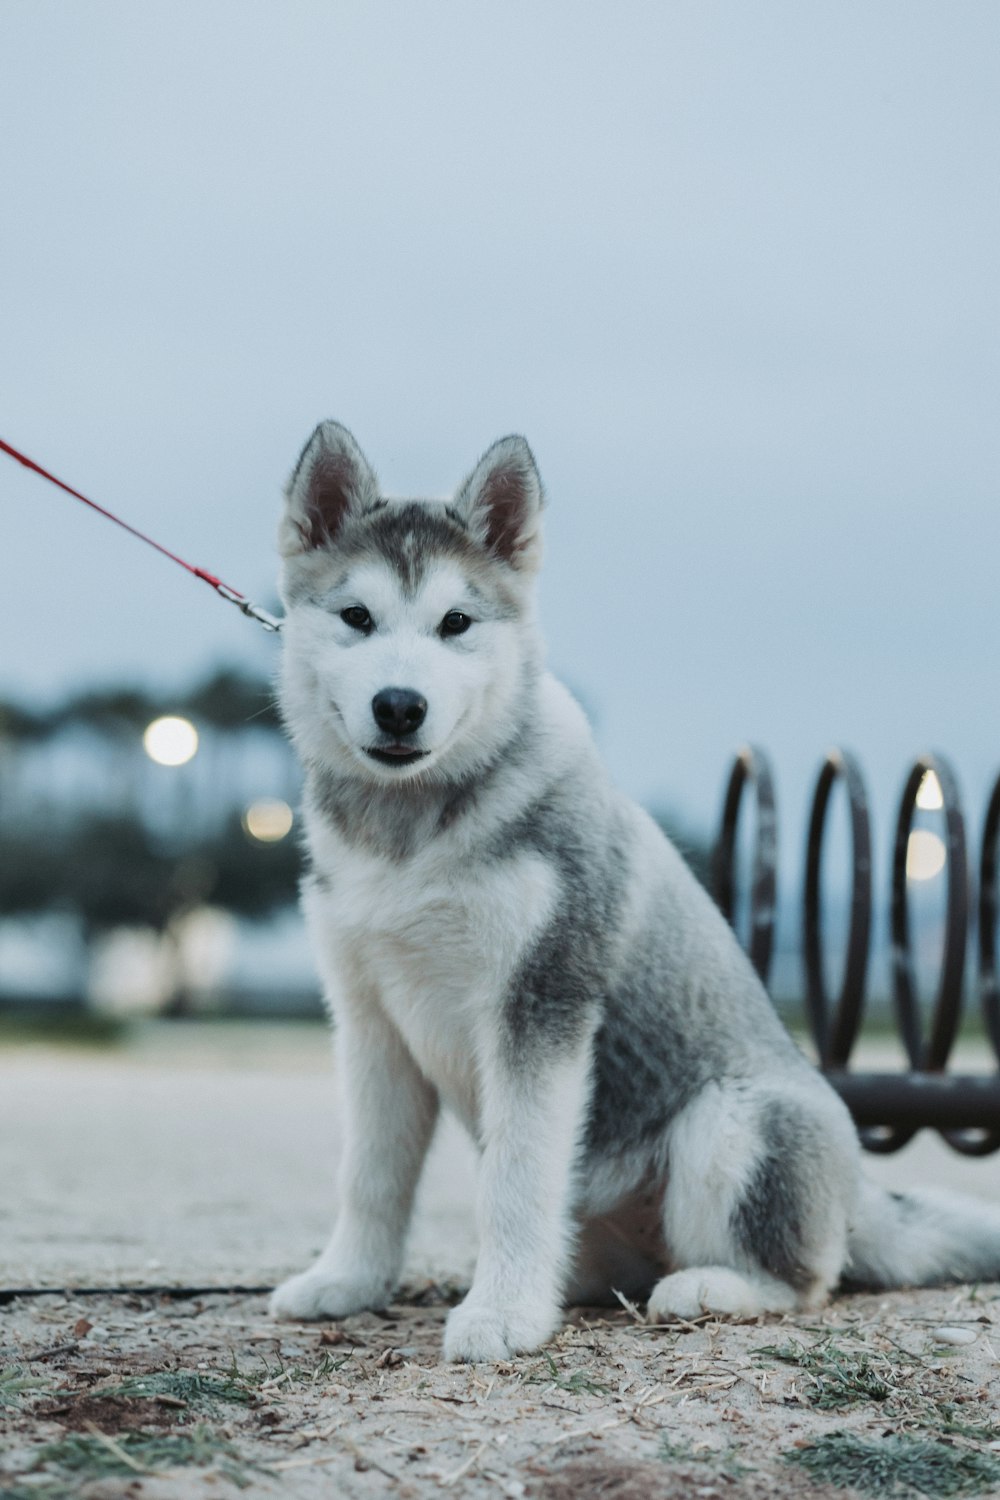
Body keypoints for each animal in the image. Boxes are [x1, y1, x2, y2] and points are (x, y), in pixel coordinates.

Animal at [269, 423, 1000, 1362]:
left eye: (455, 623)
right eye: (356, 618)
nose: (400, 706)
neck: (411, 833)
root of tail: (860, 1196)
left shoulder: (541, 1002)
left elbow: (516, 1177)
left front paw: (502, 1315)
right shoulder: (370, 1021)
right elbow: (370, 1173)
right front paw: (348, 1282)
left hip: (731, 1120)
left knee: (807, 1279)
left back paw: (710, 1287)